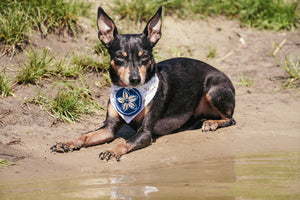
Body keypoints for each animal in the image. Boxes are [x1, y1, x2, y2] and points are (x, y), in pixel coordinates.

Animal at [50, 5, 236, 161]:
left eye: (145, 56)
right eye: (119, 57)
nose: (135, 79)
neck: (130, 92)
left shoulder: (145, 133)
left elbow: (125, 142)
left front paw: (112, 150)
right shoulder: (109, 128)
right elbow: (86, 135)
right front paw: (68, 142)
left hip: (213, 91)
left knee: (230, 119)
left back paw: (211, 123)